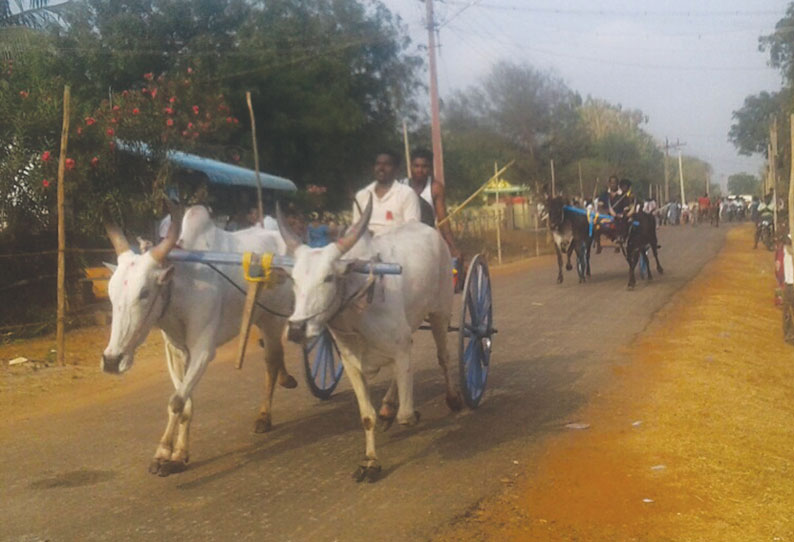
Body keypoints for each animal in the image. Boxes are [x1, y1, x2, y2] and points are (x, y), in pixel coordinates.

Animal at [102, 206, 294, 478]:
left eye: (144, 293)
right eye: (111, 292)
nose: (111, 360)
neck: (181, 290)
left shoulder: (203, 351)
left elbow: (175, 402)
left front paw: (163, 451)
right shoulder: (175, 351)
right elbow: (185, 403)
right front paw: (177, 455)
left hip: (273, 320)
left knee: (272, 362)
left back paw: (265, 415)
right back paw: (287, 380)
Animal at [282, 202, 460, 482]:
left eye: (328, 277)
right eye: (294, 280)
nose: (297, 329)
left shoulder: (401, 347)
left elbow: (406, 415)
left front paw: (411, 414)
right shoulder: (352, 364)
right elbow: (367, 416)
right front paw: (370, 461)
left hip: (440, 312)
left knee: (443, 357)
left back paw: (452, 398)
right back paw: (388, 408)